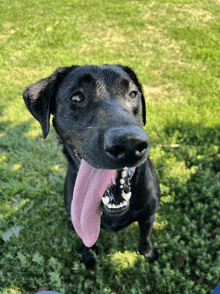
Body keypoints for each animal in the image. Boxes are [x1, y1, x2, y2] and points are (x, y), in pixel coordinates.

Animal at [23, 64, 160, 266]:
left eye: (133, 94)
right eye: (77, 97)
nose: (129, 143)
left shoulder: (148, 214)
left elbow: (146, 235)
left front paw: (148, 252)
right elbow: (86, 238)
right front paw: (88, 256)